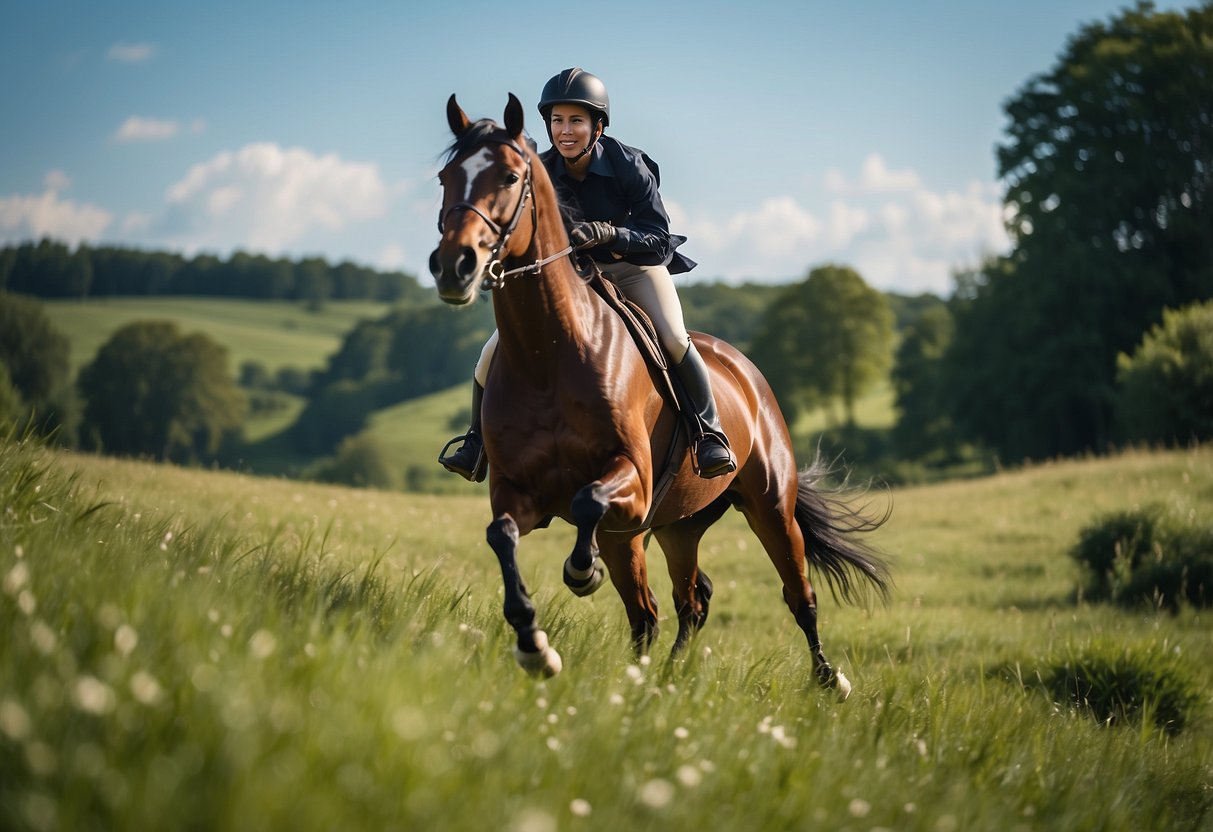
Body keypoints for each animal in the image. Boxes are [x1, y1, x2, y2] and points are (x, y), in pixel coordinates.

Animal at [429, 92, 892, 698]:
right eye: (445, 178)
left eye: (509, 176)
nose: (452, 266)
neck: (548, 353)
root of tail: (747, 373)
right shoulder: (518, 491)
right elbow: (502, 536)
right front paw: (534, 646)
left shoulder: (630, 482)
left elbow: (587, 502)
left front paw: (582, 572)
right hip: (677, 526)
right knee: (677, 604)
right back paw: (660, 678)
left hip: (768, 505)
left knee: (797, 595)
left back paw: (827, 679)